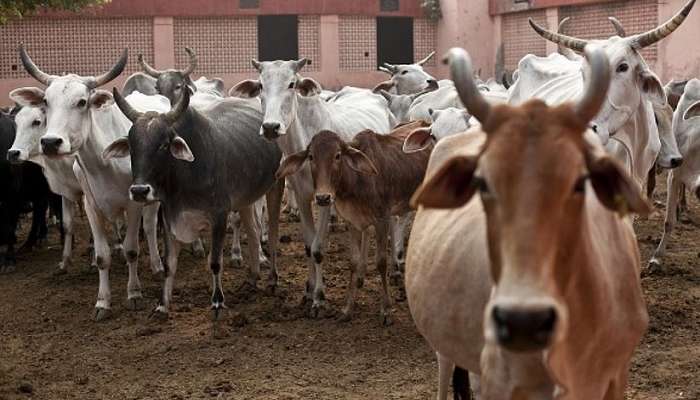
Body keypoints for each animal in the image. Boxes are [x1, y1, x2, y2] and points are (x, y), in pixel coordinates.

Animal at [274, 119, 430, 324]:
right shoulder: (352, 222)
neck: (357, 180)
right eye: (311, 156)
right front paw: (347, 309)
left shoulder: (381, 219)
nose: (323, 197)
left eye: (338, 155)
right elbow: (353, 261)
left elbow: (381, 262)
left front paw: (386, 310)